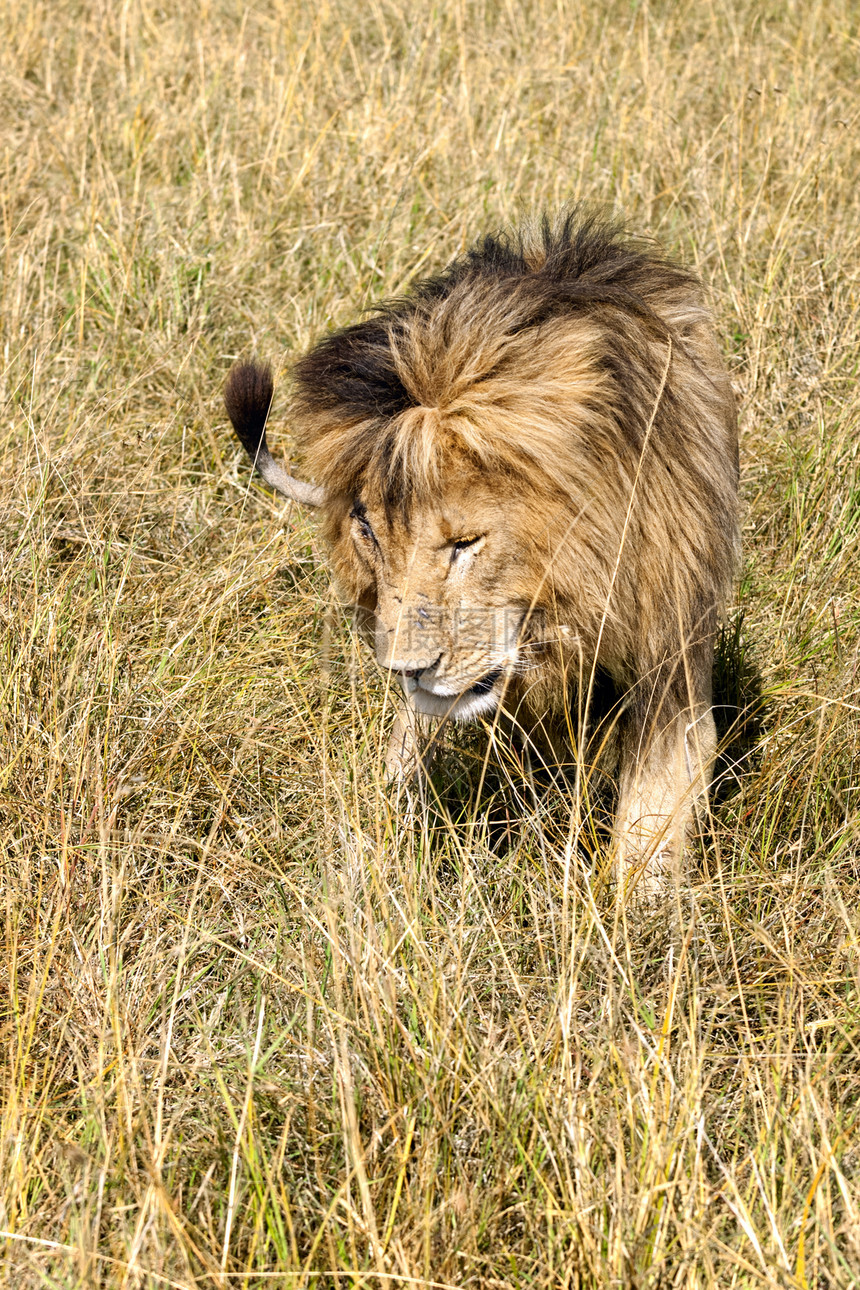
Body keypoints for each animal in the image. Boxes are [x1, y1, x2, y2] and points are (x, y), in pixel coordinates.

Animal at [225, 211, 742, 897]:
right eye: (369, 534)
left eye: (466, 544)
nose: (406, 669)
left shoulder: (671, 646)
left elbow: (657, 809)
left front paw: (635, 914)